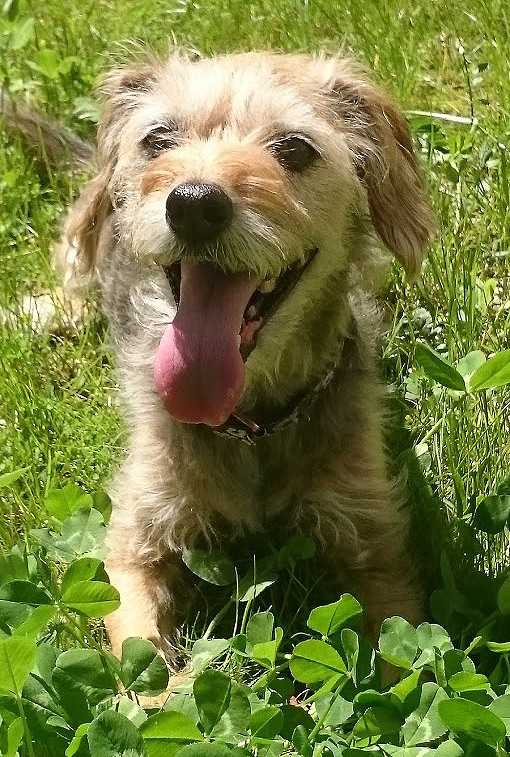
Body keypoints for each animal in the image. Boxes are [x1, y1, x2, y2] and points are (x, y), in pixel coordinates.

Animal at [8, 48, 434, 660]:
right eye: (158, 139)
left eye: (295, 148)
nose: (193, 205)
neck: (249, 422)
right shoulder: (133, 545)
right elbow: (143, 658)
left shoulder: (376, 547)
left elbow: (406, 654)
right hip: (83, 238)